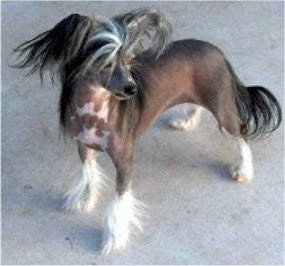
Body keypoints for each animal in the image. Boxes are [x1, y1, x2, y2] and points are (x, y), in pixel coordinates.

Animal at [14, 8, 280, 254]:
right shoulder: (84, 147)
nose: (132, 88)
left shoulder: (125, 160)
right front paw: (86, 201)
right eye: (105, 60)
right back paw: (186, 123)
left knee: (242, 134)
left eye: (129, 59)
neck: (95, 110)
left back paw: (244, 170)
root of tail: (219, 53)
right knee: (197, 107)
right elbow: (89, 175)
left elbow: (119, 200)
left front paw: (113, 238)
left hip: (222, 109)